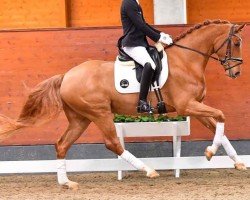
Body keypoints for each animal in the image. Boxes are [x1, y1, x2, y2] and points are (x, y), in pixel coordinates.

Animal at [0, 19, 246, 190]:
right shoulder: (187, 105)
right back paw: (148, 170)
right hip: (100, 113)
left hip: (80, 119)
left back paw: (66, 183)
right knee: (112, 143)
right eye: (235, 43)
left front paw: (235, 161)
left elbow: (219, 128)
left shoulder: (195, 107)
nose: (236, 73)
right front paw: (211, 152)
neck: (186, 61)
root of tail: (66, 76)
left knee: (61, 145)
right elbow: (221, 115)